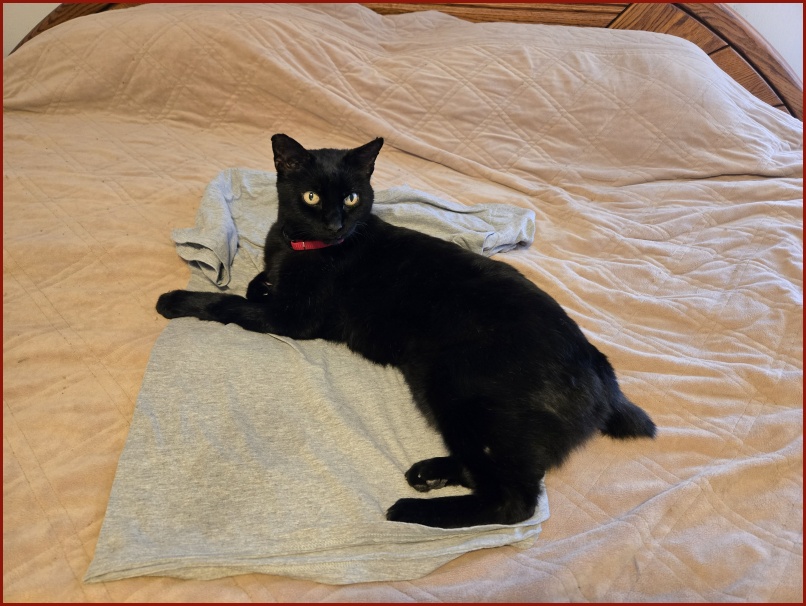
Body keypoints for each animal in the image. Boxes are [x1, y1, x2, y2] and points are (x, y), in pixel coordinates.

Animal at [156, 134, 656, 529]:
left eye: (352, 198)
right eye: (313, 197)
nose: (336, 223)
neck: (301, 245)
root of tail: (603, 370)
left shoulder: (293, 319)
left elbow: (228, 303)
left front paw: (176, 301)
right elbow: (254, 286)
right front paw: (258, 280)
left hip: (459, 387)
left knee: (514, 500)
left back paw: (412, 510)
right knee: (489, 472)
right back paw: (428, 473)